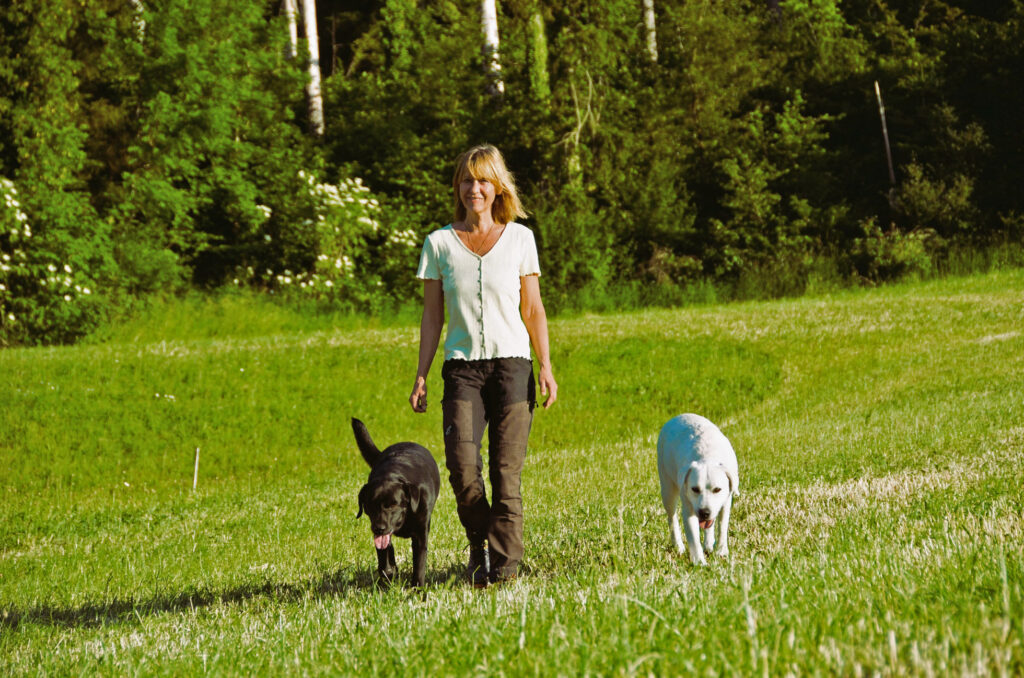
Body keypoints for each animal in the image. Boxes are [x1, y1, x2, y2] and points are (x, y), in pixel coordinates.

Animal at [352, 417, 440, 585]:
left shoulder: (420, 533)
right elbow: (383, 555)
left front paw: (417, 587)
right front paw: (388, 573)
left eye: (393, 504)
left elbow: (419, 562)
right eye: (370, 505)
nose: (379, 528)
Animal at [659, 413, 741, 569]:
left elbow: (722, 525)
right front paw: (699, 562)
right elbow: (693, 537)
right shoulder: (689, 508)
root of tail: (676, 417)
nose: (704, 512)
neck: (708, 457)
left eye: (717, 489)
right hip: (667, 488)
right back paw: (678, 545)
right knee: (671, 517)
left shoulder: (726, 501)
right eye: (695, 489)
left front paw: (721, 551)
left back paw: (708, 544)